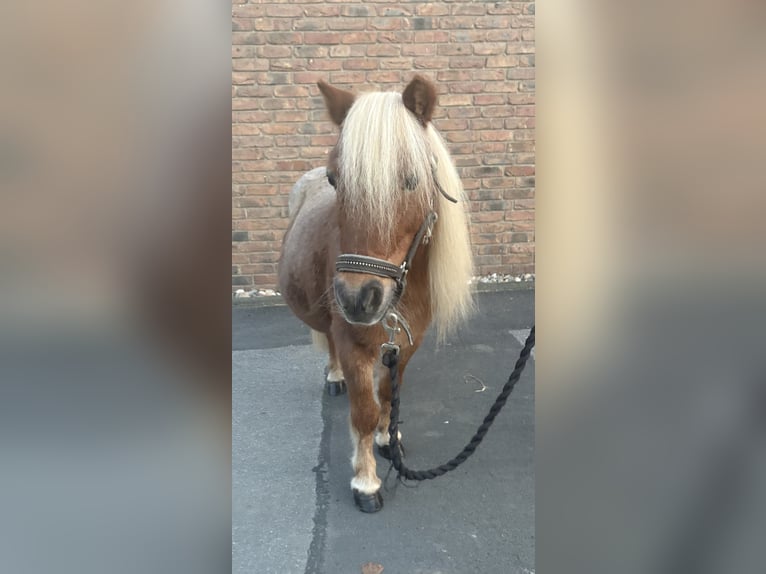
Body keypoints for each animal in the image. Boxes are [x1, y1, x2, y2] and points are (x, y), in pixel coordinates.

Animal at [278, 76, 474, 512]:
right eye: (335, 179)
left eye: (412, 180)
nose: (357, 298)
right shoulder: (354, 343)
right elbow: (365, 411)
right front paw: (365, 482)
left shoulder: (406, 344)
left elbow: (387, 394)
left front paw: (389, 439)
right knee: (329, 343)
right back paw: (335, 377)